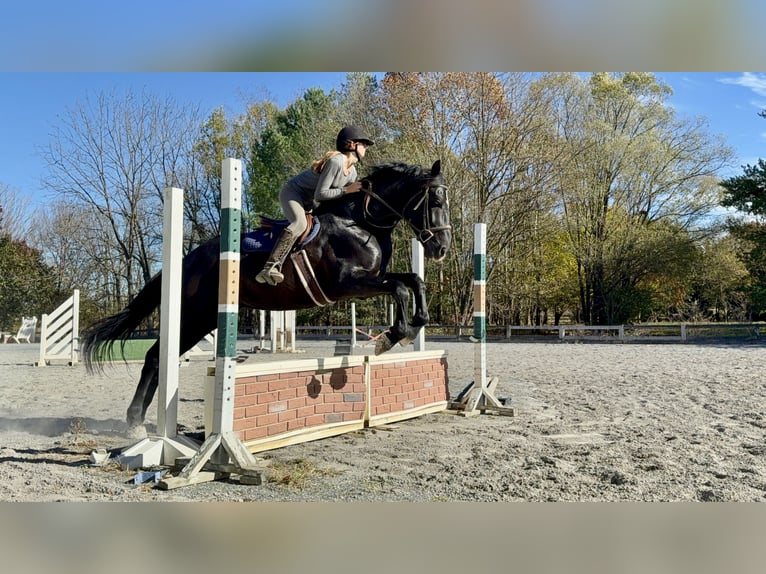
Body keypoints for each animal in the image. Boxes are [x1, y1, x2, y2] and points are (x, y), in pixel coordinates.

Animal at [81, 159, 452, 438]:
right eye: (435, 202)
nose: (441, 249)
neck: (361, 221)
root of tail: (188, 259)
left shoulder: (373, 278)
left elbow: (413, 281)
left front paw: (413, 326)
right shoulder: (346, 284)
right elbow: (400, 288)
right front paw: (392, 336)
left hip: (200, 319)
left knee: (159, 357)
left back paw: (142, 423)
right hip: (194, 315)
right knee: (156, 357)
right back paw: (136, 424)